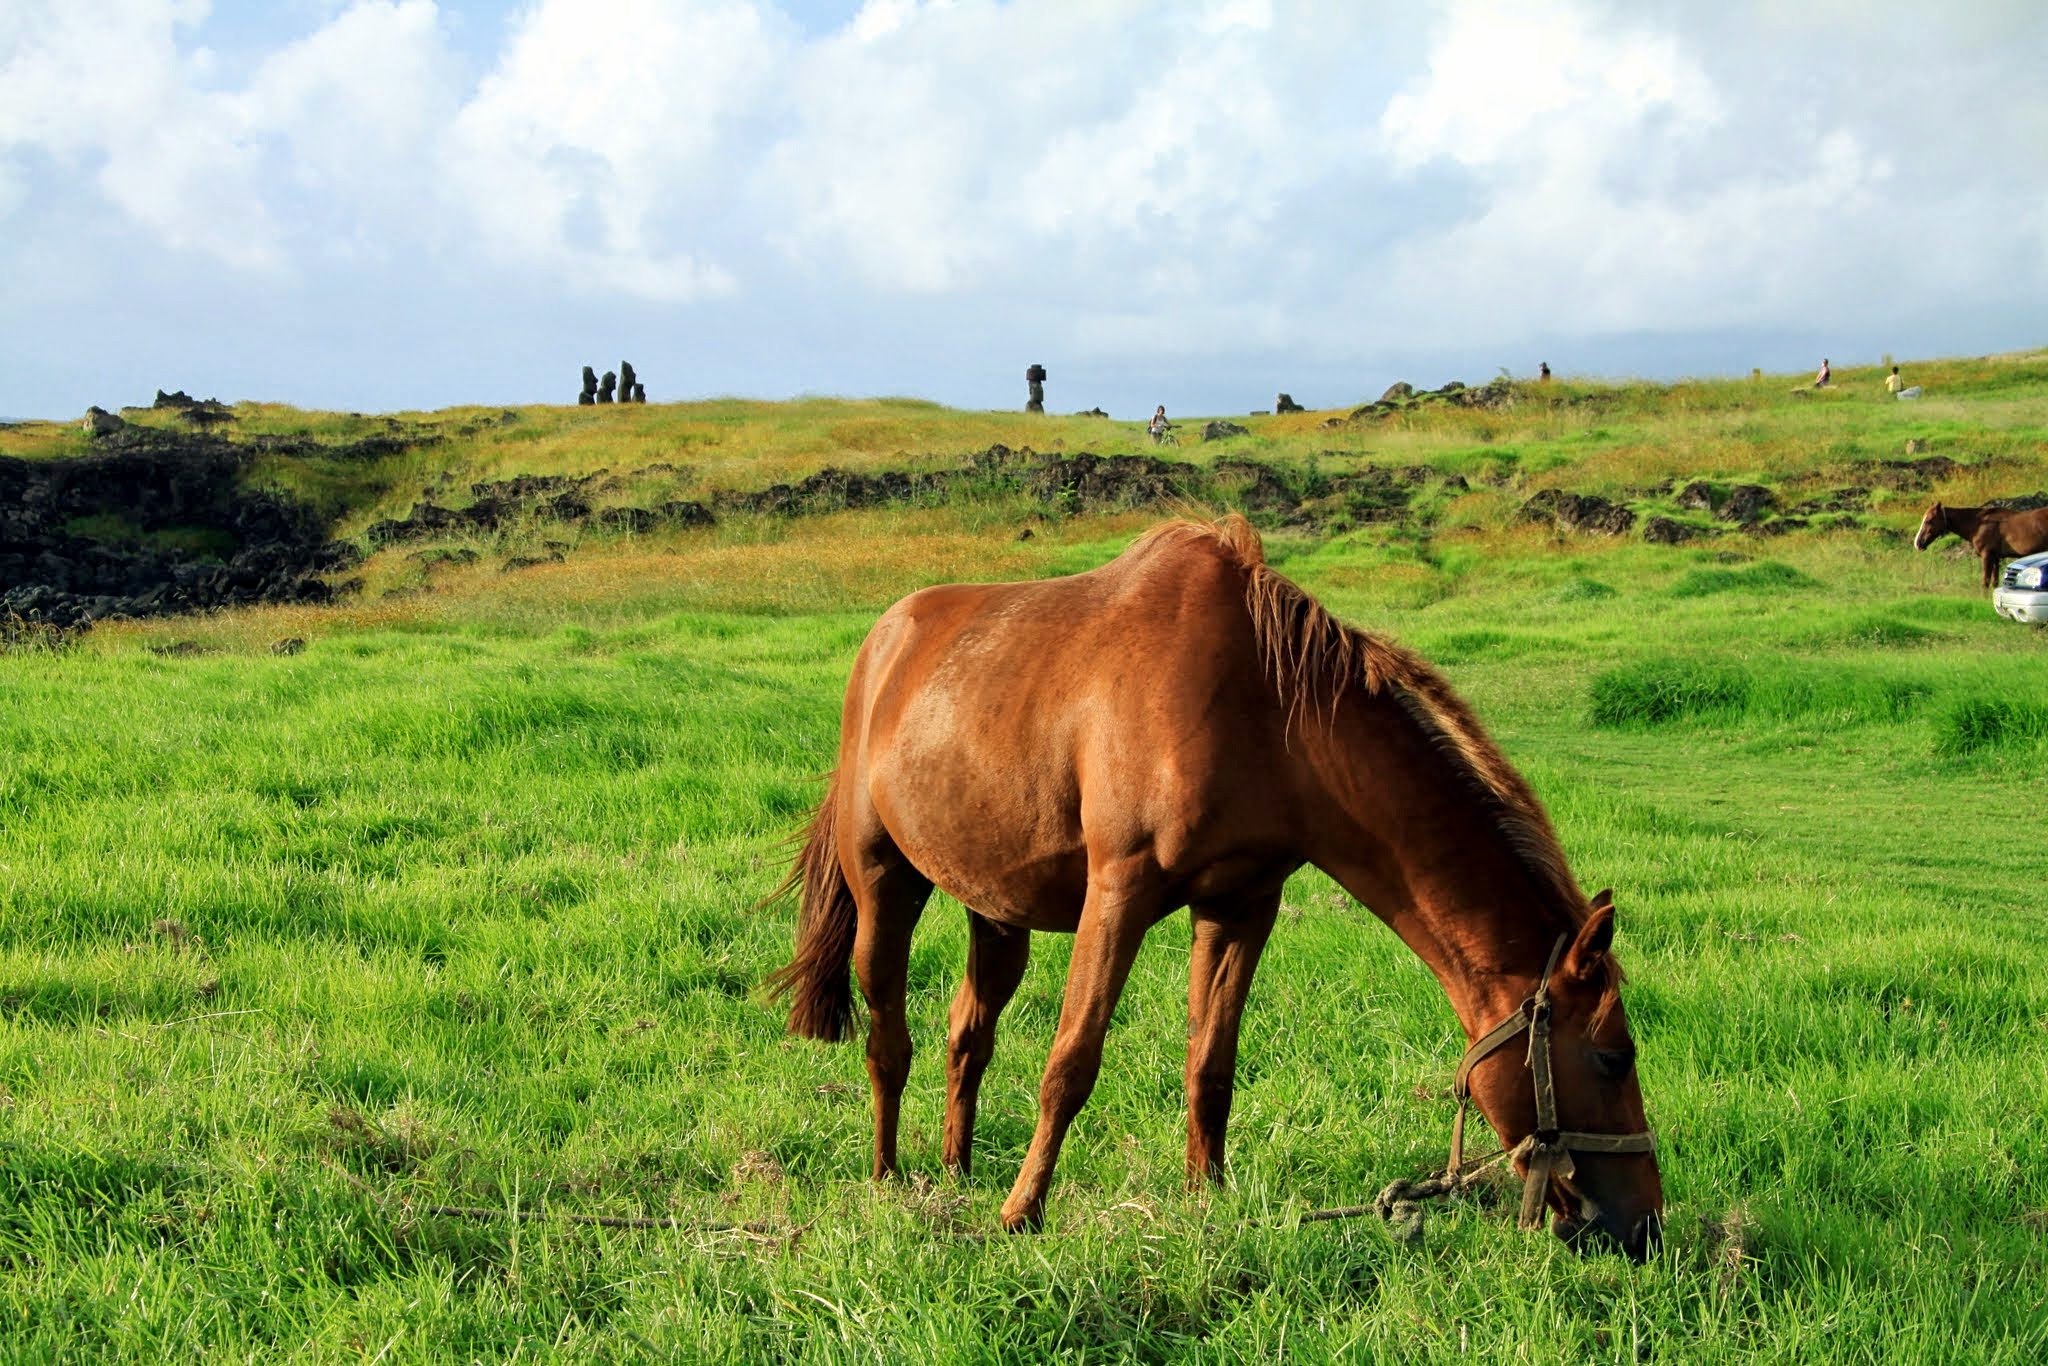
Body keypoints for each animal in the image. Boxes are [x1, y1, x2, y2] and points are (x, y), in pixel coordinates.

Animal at [770, 516, 1662, 1261]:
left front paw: (1207, 1197)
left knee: (968, 1036)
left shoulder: (1240, 906)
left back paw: (956, 1171)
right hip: (885, 885)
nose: (1644, 1225)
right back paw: (890, 1178)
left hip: (996, 913)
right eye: (1613, 1057)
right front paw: (1023, 1211)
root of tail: (885, 640)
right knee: (888, 1040)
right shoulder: (1119, 893)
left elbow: (1211, 1064)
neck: (1267, 711)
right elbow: (1071, 1062)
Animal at [1908, 501, 2048, 589]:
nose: (1918, 543)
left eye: (1929, 520)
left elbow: (1985, 582)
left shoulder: (1987, 556)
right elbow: (1994, 583)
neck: (1978, 524)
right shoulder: (1996, 558)